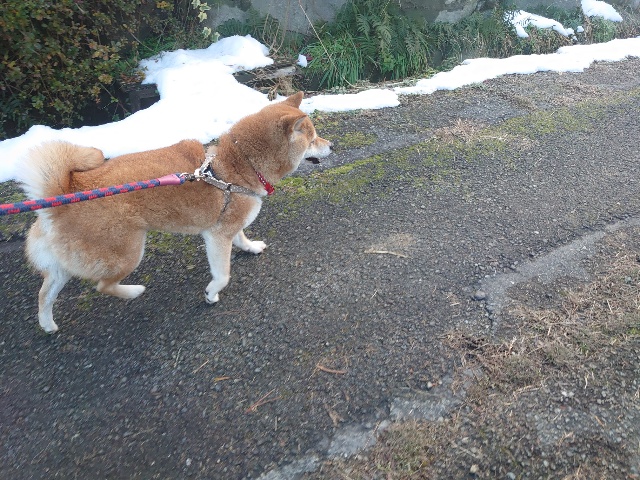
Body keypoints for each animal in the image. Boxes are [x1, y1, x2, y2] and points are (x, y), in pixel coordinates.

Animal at [19, 92, 332, 333]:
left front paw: (251, 247)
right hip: (127, 253)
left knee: (44, 294)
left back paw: (47, 325)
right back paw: (133, 291)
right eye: (313, 138)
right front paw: (211, 293)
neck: (240, 163)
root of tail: (67, 190)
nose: (332, 145)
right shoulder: (217, 235)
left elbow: (242, 237)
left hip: (65, 263)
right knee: (102, 285)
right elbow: (223, 274)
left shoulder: (227, 225)